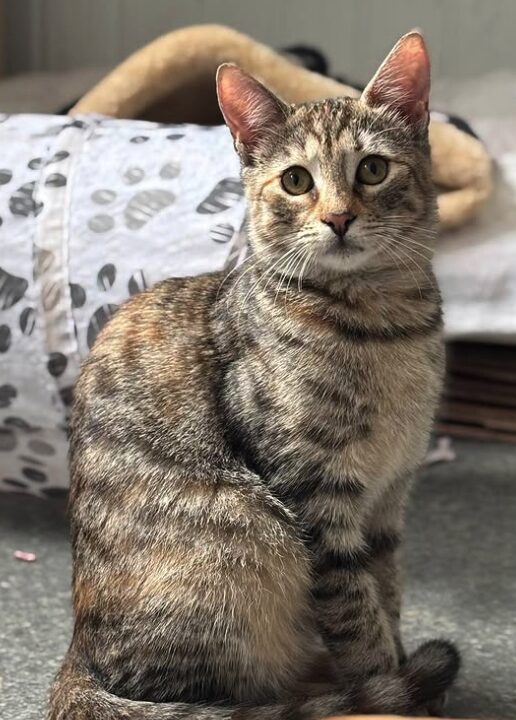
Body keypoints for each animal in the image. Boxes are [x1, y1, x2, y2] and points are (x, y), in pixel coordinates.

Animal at [48, 33, 460, 720]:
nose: (339, 218)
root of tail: (77, 657)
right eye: (296, 181)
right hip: (246, 537)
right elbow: (357, 615)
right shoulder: (315, 494)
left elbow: (387, 593)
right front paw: (389, 689)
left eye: (373, 169)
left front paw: (408, 677)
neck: (385, 324)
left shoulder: (389, 498)